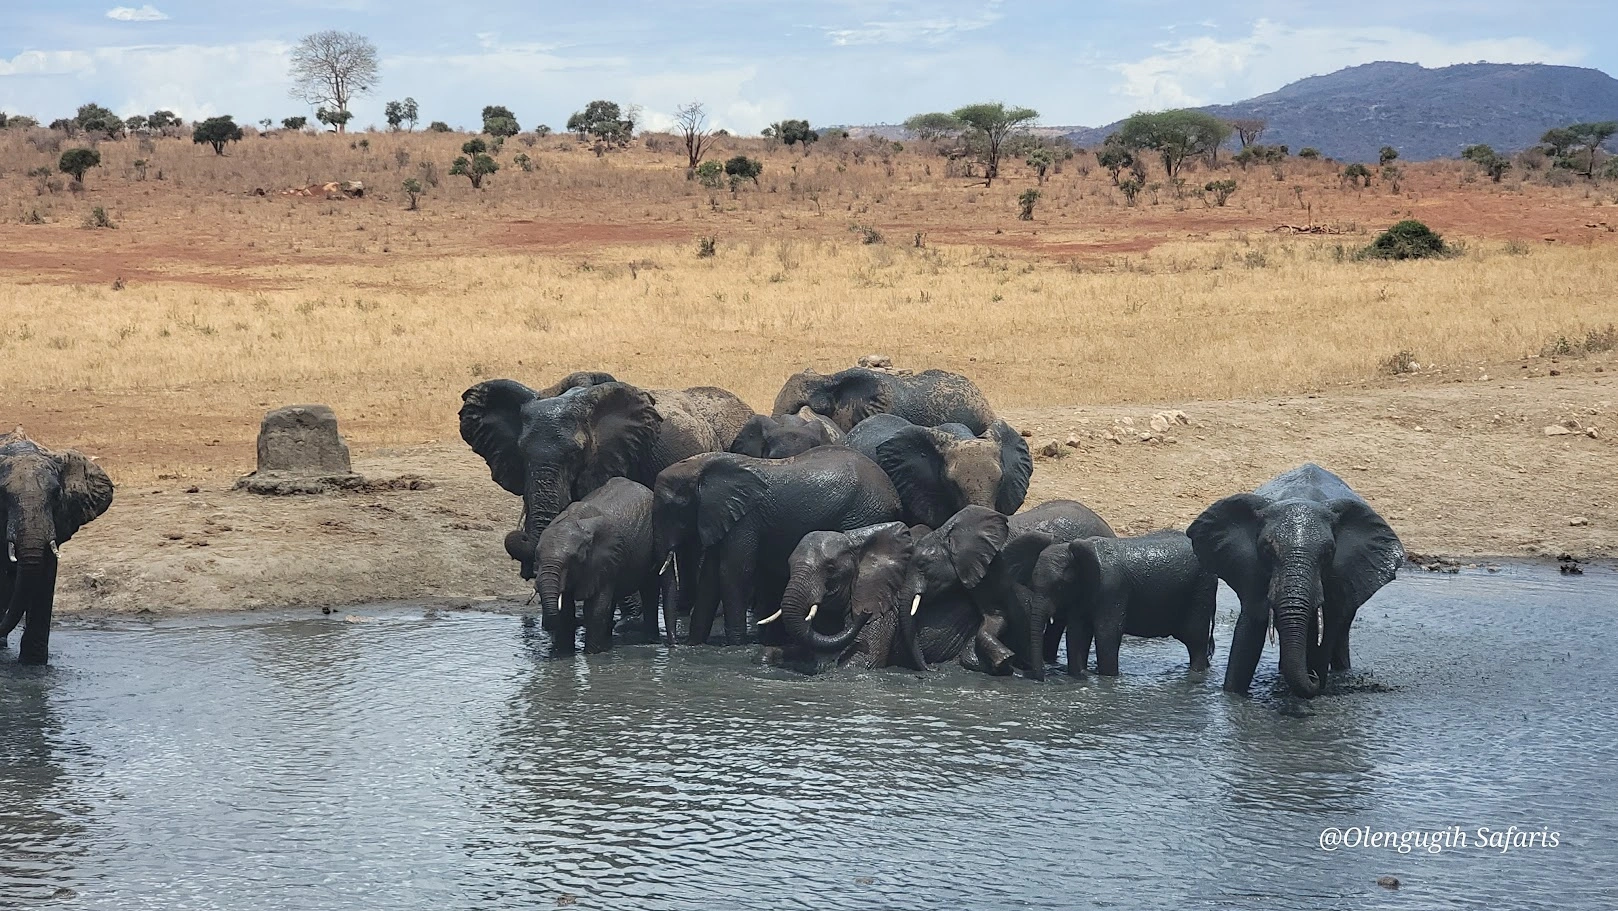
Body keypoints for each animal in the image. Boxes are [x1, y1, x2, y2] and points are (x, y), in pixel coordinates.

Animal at [533, 477, 658, 653]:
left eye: (574, 559)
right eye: (537, 557)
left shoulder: (604, 560)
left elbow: (595, 609)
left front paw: (592, 654)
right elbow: (566, 610)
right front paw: (563, 654)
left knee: (650, 589)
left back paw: (651, 640)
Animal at [650, 447, 902, 646]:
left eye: (673, 508)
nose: (673, 644)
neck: (702, 466)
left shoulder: (746, 519)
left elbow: (734, 573)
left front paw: (735, 646)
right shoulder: (720, 517)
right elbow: (710, 577)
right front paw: (694, 645)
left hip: (864, 513)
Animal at [1029, 530, 1217, 678]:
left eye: (1059, 586)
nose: (1042, 677)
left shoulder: (1112, 588)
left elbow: (1107, 633)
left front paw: (1108, 679)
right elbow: (1077, 633)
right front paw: (1081, 674)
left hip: (1202, 587)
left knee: (1195, 638)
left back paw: (1196, 674)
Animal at [1187, 463, 1404, 698]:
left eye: (1328, 553)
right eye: (1267, 549)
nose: (1314, 677)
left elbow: (1323, 636)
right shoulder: (1250, 571)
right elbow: (1247, 634)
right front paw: (1233, 697)